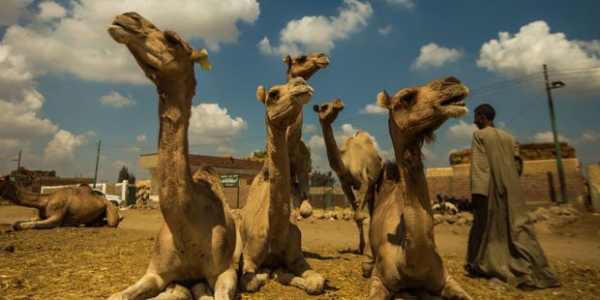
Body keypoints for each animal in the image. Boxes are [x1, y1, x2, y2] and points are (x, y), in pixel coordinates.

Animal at [106, 11, 238, 300]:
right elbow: (117, 295)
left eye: (173, 39)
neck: (186, 226)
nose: (126, 17)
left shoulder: (224, 270)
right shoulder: (156, 272)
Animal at [238, 76, 326, 294]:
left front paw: (283, 274)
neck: (274, 233)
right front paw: (266, 273)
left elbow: (316, 282)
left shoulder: (297, 257)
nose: (301, 83)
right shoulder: (249, 257)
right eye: (273, 94)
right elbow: (249, 281)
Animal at [312, 99, 382, 255]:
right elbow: (357, 216)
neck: (345, 161)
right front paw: (360, 248)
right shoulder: (345, 185)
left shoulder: (364, 181)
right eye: (324, 106)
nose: (338, 102)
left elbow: (359, 214)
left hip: (378, 179)